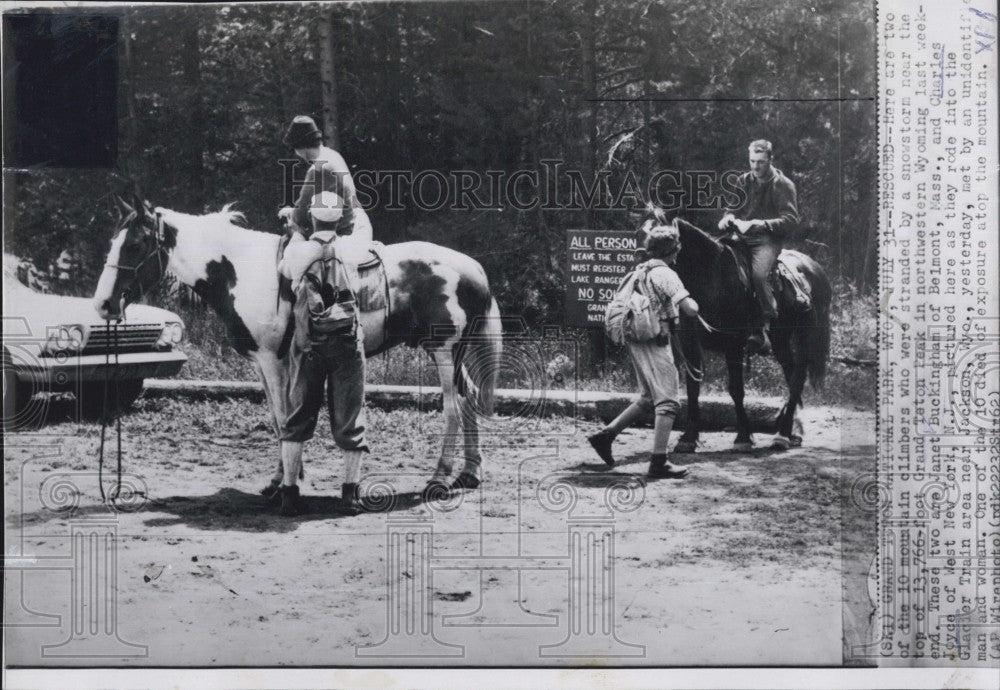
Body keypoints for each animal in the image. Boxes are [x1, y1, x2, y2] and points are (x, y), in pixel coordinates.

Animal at [92, 199, 500, 494]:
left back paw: (439, 477)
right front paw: (285, 476)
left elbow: (283, 415)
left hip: (444, 351)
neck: (241, 270)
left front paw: (286, 480)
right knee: (469, 402)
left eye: (136, 244)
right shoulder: (263, 361)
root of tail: (474, 269)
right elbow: (279, 417)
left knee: (452, 409)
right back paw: (469, 474)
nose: (104, 305)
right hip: (454, 354)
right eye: (113, 242)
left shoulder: (274, 360)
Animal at [644, 207, 832, 448]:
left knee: (798, 378)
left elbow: (736, 390)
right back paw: (792, 432)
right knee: (791, 375)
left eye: (665, 242)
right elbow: (693, 387)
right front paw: (689, 437)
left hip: (805, 335)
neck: (713, 278)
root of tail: (816, 270)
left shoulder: (733, 345)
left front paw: (743, 436)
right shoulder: (691, 344)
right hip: (780, 339)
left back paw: (782, 435)